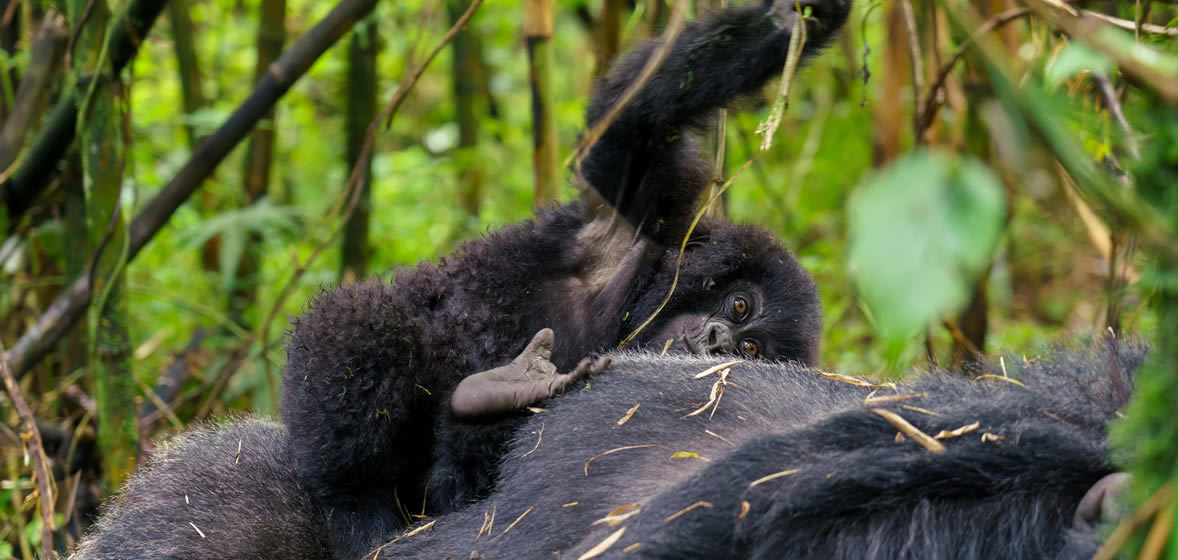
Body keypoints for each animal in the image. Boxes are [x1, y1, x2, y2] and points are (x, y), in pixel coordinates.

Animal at [278, 0, 848, 556]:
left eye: (750, 351)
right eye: (739, 305)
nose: (714, 342)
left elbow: (473, 487)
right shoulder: (647, 217)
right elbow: (632, 122)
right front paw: (792, 23)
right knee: (362, 324)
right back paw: (357, 507)